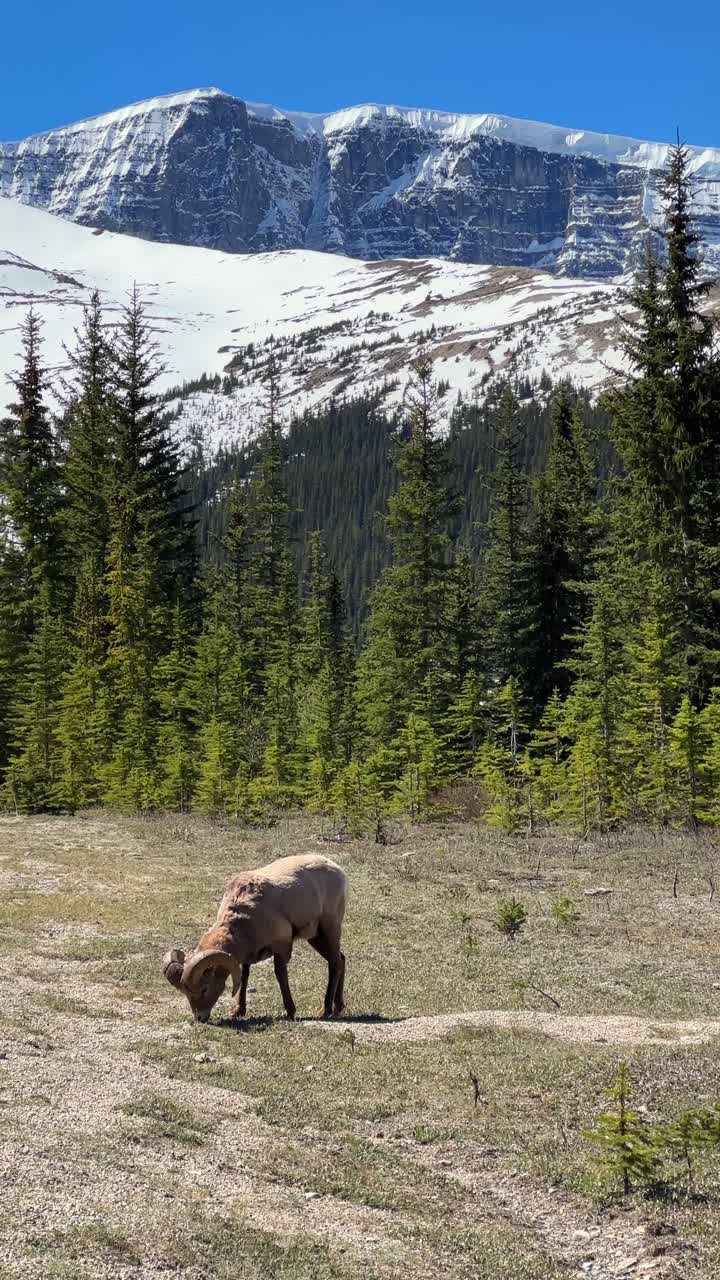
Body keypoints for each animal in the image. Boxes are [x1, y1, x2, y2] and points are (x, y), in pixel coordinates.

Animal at [162, 853, 348, 1024]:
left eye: (204, 989)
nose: (200, 1018)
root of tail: (337, 869)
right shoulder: (247, 956)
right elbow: (245, 976)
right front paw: (238, 1011)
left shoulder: (281, 947)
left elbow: (280, 976)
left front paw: (290, 1012)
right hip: (316, 938)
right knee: (341, 959)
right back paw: (338, 1007)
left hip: (329, 930)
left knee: (335, 964)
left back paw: (326, 1010)